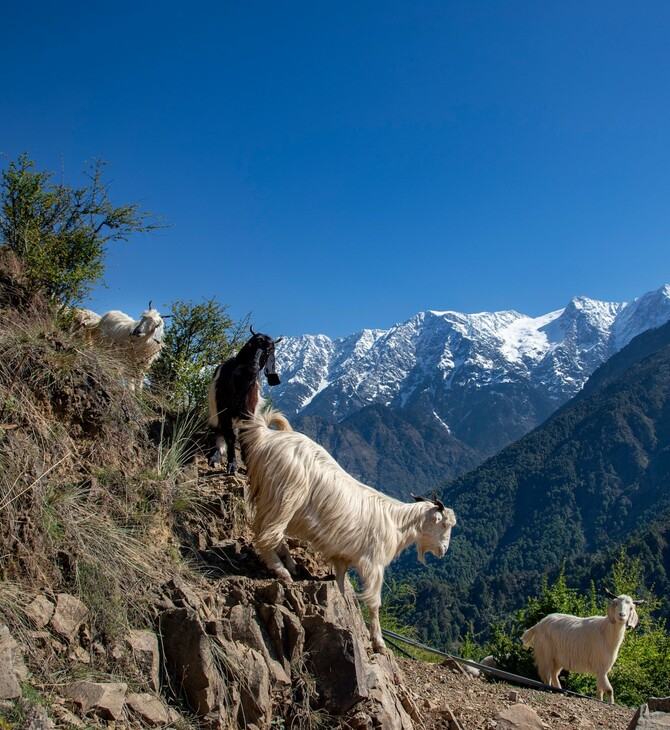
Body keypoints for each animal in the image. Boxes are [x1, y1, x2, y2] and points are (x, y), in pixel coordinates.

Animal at [210, 326, 284, 472]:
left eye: (268, 352)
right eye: (251, 344)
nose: (253, 366)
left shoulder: (248, 413)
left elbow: (245, 436)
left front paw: (247, 463)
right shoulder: (223, 409)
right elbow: (230, 436)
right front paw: (232, 464)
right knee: (219, 431)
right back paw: (215, 455)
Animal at [239, 406, 460, 652]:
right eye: (444, 523)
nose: (443, 551)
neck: (396, 523)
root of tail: (266, 436)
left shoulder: (342, 558)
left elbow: (341, 584)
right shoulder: (373, 564)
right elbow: (374, 603)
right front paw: (378, 642)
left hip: (269, 497)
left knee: (268, 531)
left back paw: (291, 565)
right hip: (284, 497)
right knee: (267, 534)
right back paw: (282, 571)